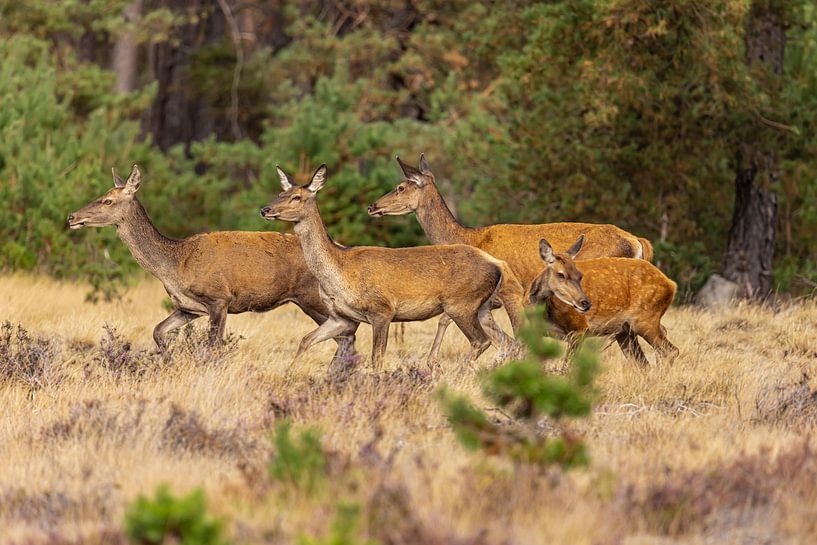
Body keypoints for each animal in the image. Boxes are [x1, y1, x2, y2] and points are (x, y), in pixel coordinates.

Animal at [67, 165, 357, 360]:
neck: (174, 265)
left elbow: (212, 348)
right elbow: (158, 331)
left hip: (315, 299)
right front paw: (168, 360)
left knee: (347, 337)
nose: (72, 217)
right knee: (347, 339)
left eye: (107, 200)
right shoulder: (189, 307)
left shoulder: (219, 298)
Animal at [259, 164, 514, 369]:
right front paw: (288, 375)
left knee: (481, 341)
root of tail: (498, 264)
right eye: (281, 193)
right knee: (504, 342)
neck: (340, 271)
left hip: (461, 303)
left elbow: (377, 358)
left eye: (297, 197)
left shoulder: (382, 310)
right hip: (482, 307)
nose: (265, 209)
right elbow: (305, 340)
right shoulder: (341, 317)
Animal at [528, 235, 679, 364]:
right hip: (626, 330)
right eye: (560, 274)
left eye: (580, 275)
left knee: (671, 351)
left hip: (645, 319)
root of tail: (672, 284)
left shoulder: (579, 329)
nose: (585, 303)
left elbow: (567, 366)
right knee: (644, 361)